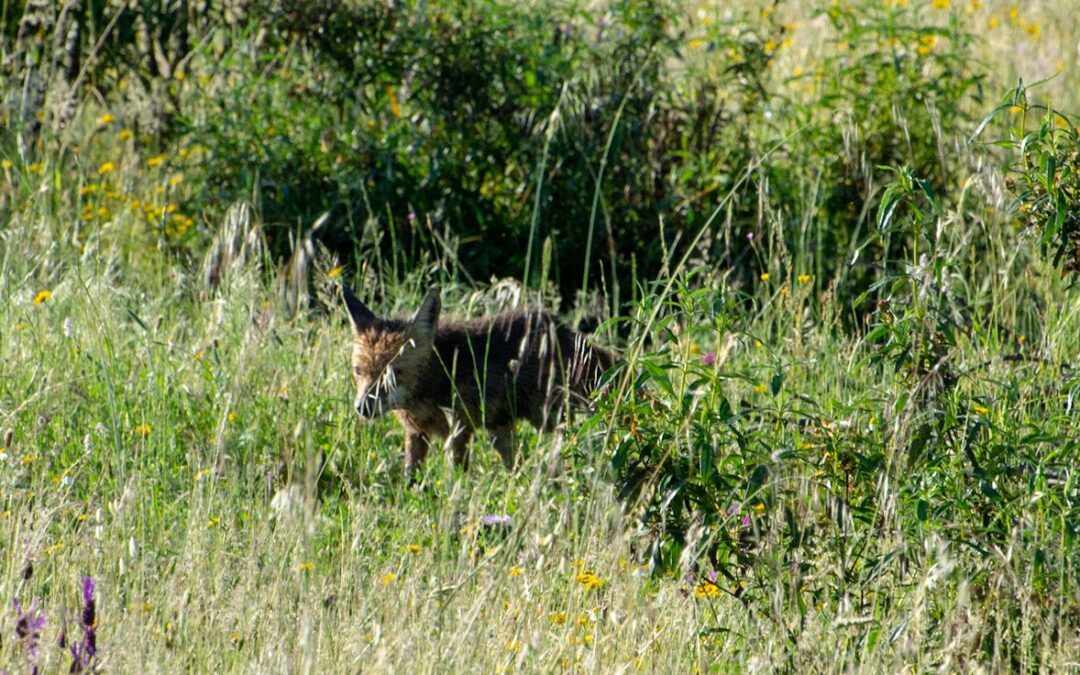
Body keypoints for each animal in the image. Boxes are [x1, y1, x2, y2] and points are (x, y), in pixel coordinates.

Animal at [345, 285, 617, 479]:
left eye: (395, 372)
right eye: (359, 371)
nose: (362, 407)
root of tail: (560, 327)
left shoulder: (460, 430)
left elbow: (456, 477)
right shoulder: (416, 432)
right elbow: (410, 477)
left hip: (546, 419)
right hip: (500, 430)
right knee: (517, 463)